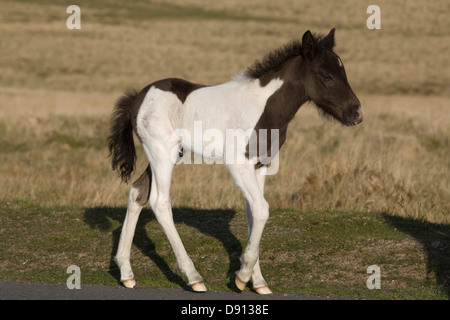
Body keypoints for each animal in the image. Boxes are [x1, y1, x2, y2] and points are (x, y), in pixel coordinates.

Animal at [108, 28, 362, 294]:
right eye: (327, 76)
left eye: (343, 72)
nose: (357, 113)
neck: (263, 108)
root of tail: (138, 98)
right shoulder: (237, 163)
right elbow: (261, 209)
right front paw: (241, 277)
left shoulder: (261, 166)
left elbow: (253, 213)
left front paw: (258, 281)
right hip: (162, 154)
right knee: (160, 202)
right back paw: (193, 277)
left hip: (165, 155)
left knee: (137, 192)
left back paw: (126, 273)